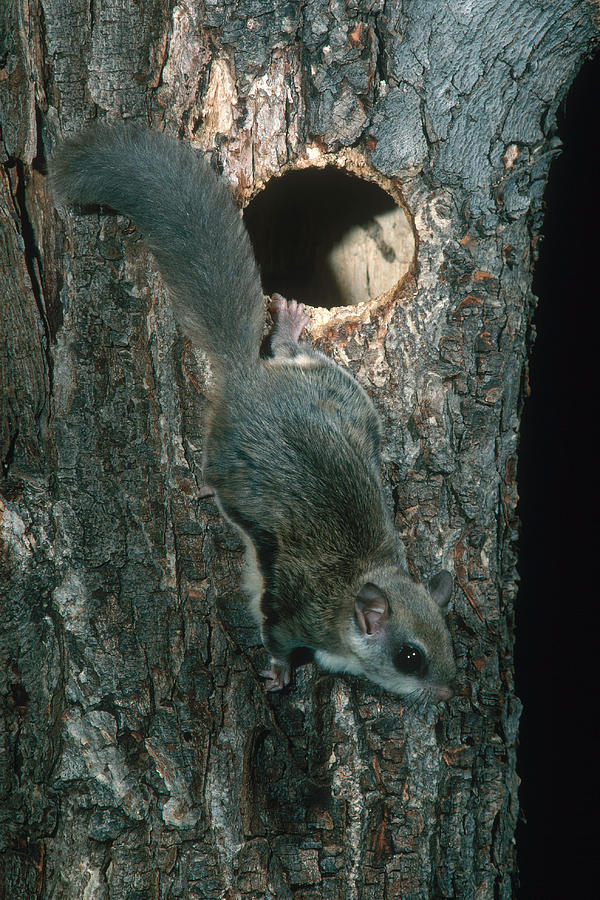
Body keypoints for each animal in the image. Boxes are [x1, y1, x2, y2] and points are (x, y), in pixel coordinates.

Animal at [50, 123, 454, 704]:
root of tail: (246, 379)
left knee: (290, 357)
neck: (354, 587)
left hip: (341, 396)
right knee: (216, 473)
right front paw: (279, 674)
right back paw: (201, 484)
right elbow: (277, 639)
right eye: (410, 657)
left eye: (448, 639)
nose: (446, 693)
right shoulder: (295, 615)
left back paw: (286, 328)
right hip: (235, 456)